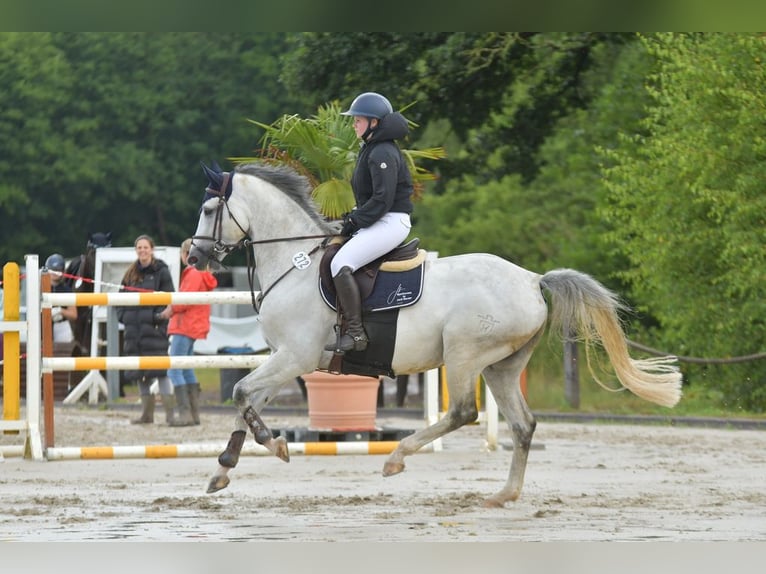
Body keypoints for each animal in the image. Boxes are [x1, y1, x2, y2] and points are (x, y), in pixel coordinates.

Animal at [188, 162, 684, 508]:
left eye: (210, 210)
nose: (194, 257)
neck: (297, 264)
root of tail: (531, 279)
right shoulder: (287, 359)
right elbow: (246, 400)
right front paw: (223, 470)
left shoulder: (296, 356)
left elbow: (240, 393)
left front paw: (274, 446)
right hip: (503, 366)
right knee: (522, 425)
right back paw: (504, 495)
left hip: (464, 355)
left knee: (464, 411)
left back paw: (397, 457)